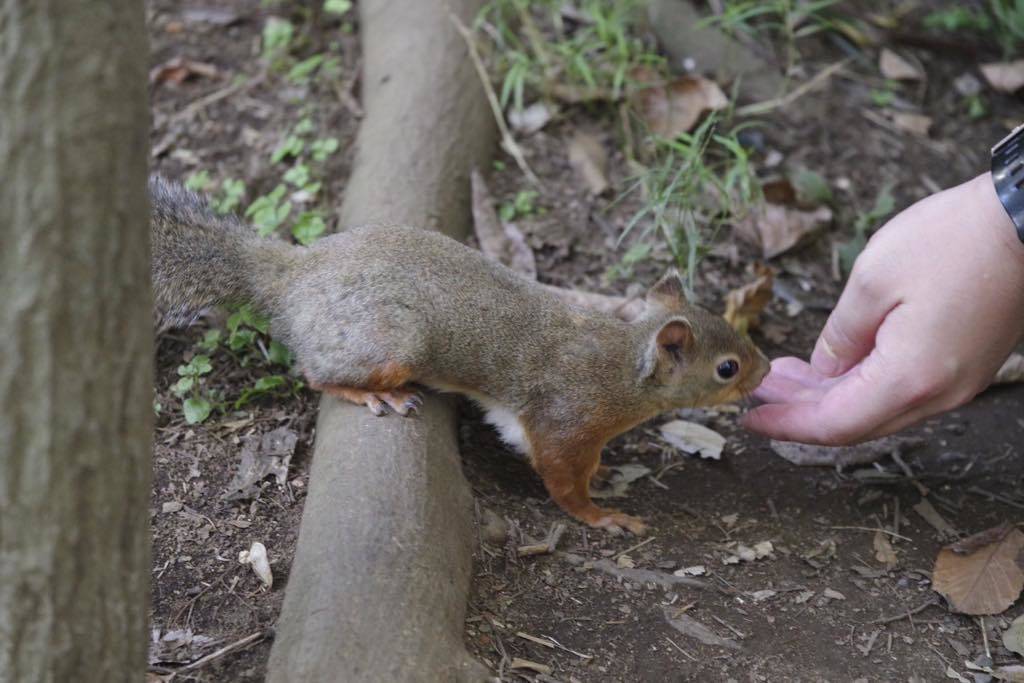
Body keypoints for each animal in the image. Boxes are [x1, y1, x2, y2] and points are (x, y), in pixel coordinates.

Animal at [151, 175, 770, 532]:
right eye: (727, 368)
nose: (765, 370)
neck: (620, 367)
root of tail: (292, 280)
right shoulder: (565, 422)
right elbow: (562, 479)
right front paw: (602, 515)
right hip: (391, 343)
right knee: (315, 373)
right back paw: (374, 394)